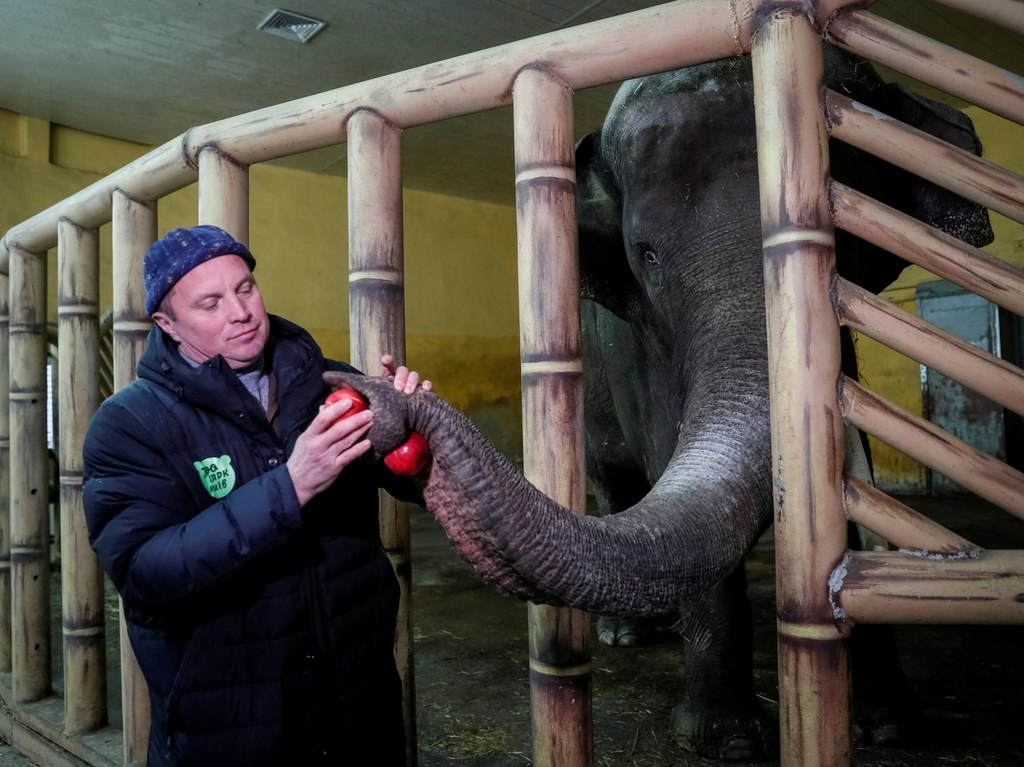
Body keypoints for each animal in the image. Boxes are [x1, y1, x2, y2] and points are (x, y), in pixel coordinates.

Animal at [325, 44, 991, 757]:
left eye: (846, 238)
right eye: (646, 255)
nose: (384, 392)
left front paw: (891, 726)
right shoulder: (629, 346)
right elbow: (667, 444)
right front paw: (728, 743)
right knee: (619, 484)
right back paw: (629, 633)